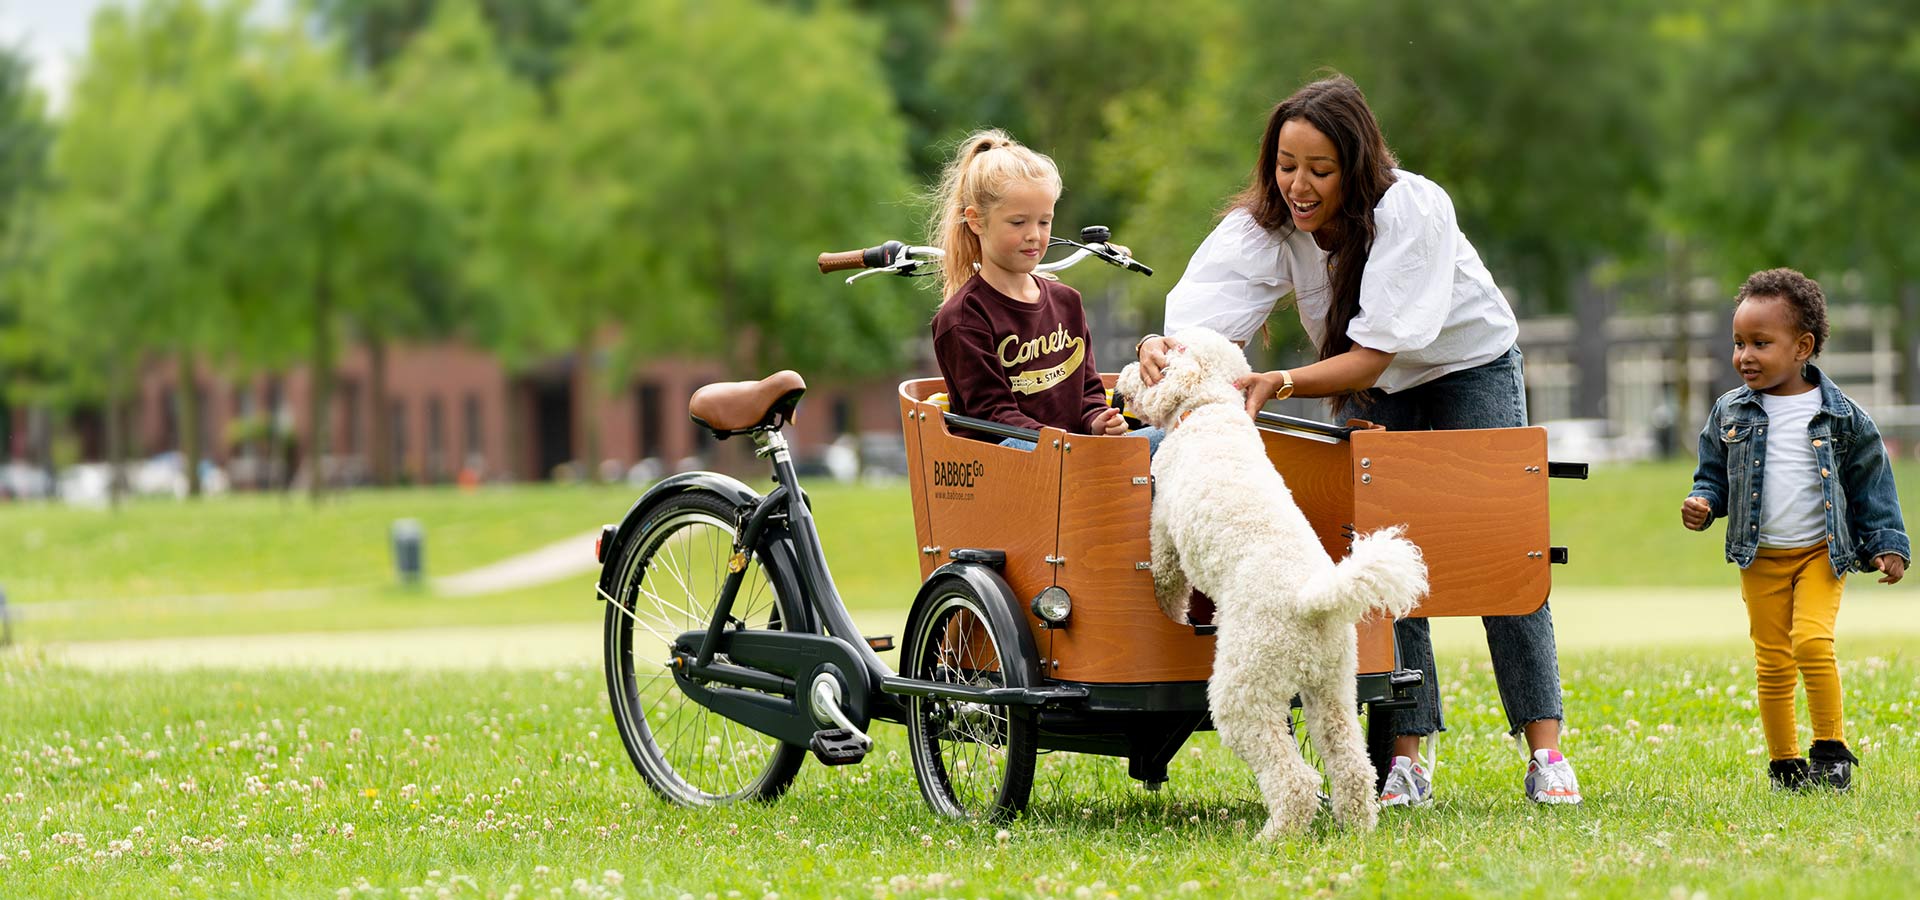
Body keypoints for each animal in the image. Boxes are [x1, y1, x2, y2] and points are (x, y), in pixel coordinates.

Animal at [1113, 326, 1428, 836]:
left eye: (1159, 359)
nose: (1119, 387)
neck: (1209, 408)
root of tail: (1312, 601)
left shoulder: (1162, 537)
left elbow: (1166, 582)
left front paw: (1169, 614)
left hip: (1244, 689)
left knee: (1293, 777)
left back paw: (1275, 835)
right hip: (1333, 687)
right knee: (1352, 765)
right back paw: (1357, 828)